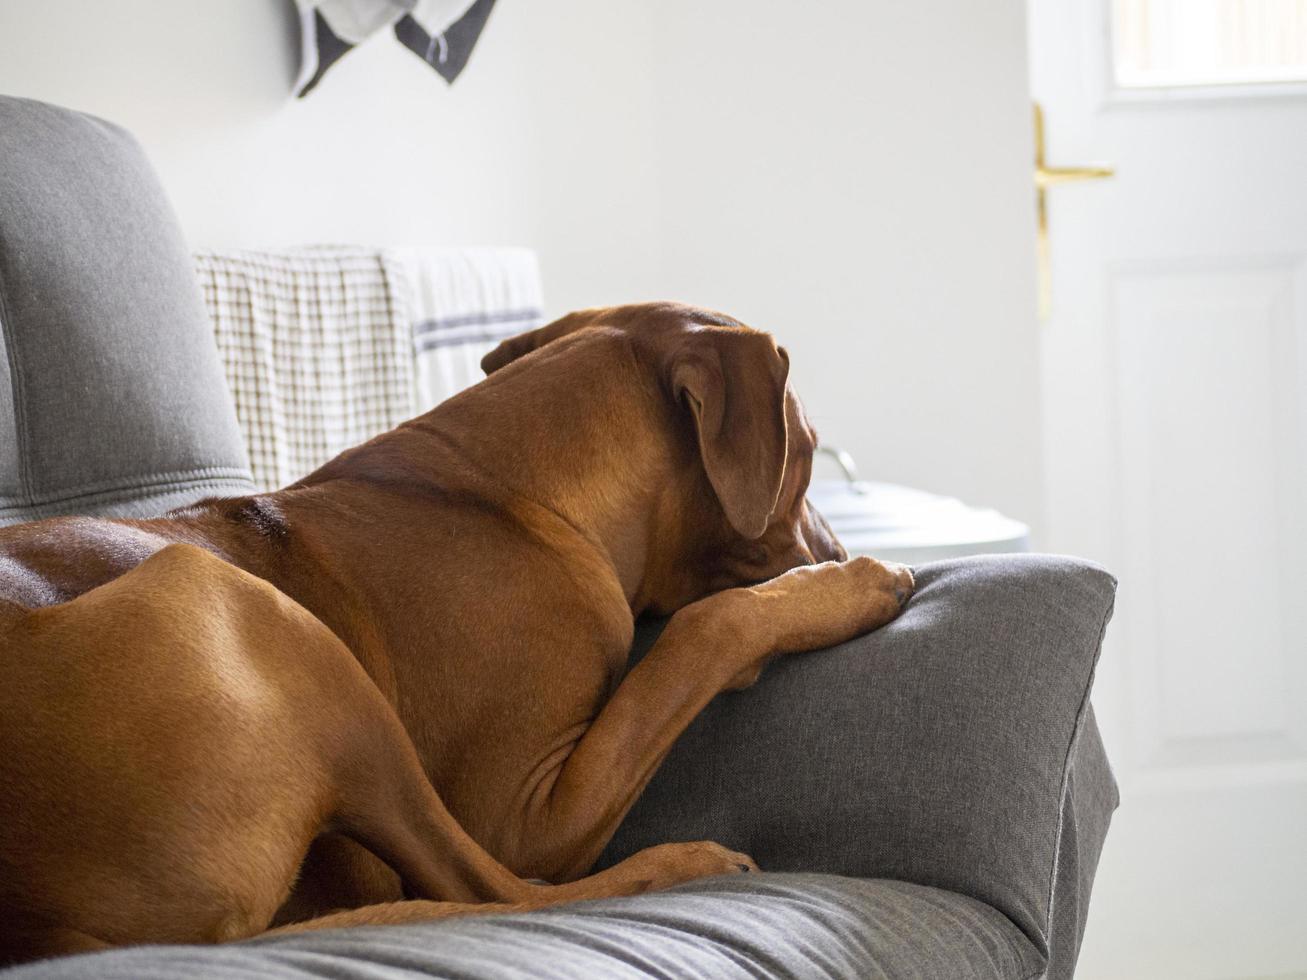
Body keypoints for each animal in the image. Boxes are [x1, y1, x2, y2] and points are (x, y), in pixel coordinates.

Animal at [0, 303, 914, 961]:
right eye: (809, 452)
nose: (836, 549)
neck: (509, 491)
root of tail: (39, 927)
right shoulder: (520, 812)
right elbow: (697, 634)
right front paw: (847, 587)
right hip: (238, 608)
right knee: (493, 890)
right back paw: (681, 866)